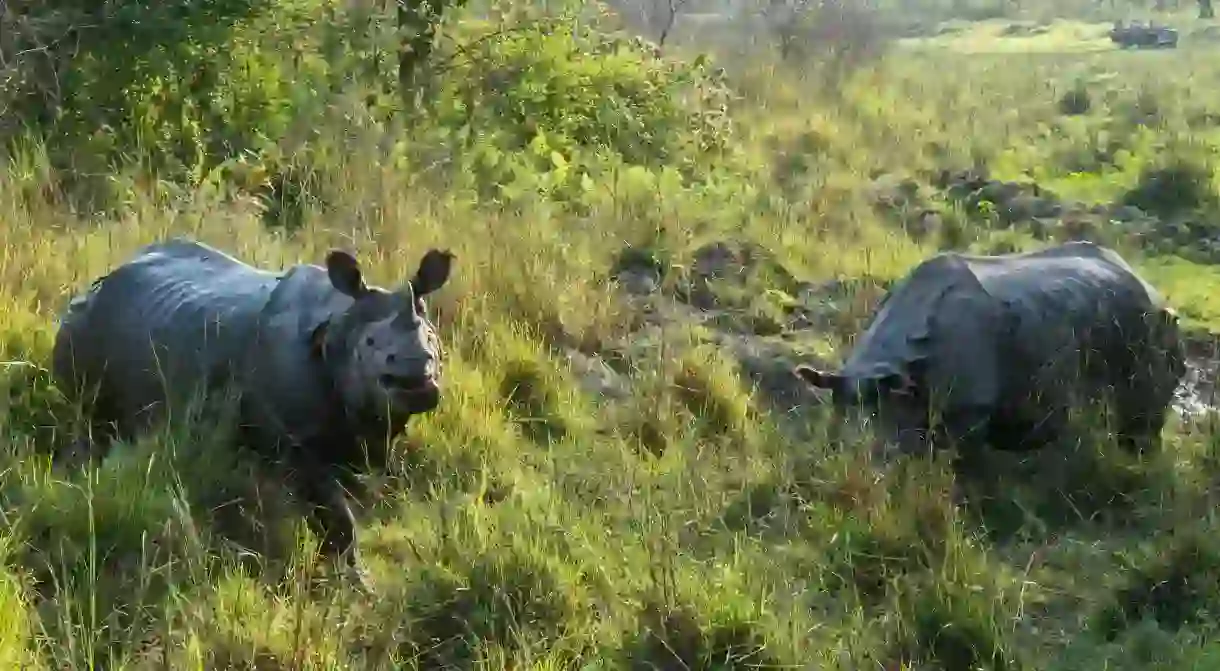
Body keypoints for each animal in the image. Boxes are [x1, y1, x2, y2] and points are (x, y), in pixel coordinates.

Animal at [50, 239, 456, 592]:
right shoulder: (296, 442)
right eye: (370, 346)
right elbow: (338, 517)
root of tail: (96, 282)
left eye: (432, 339)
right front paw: (357, 587)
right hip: (82, 328)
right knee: (92, 424)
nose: (415, 378)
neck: (341, 327)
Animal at [795, 241, 1185, 463]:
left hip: (1153, 323)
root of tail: (1144, 280)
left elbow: (959, 465)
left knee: (1143, 402)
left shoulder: (970, 406)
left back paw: (1138, 462)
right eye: (830, 434)